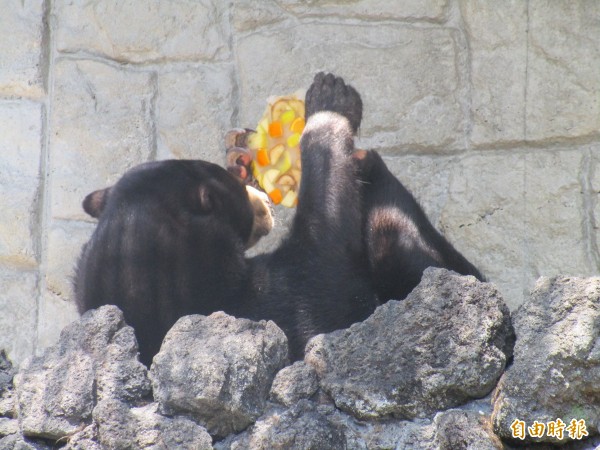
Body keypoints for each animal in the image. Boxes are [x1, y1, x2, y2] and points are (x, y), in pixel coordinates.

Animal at [76, 72, 482, 366]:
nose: (261, 202)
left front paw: (243, 157)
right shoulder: (278, 302)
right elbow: (329, 242)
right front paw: (331, 100)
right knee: (395, 236)